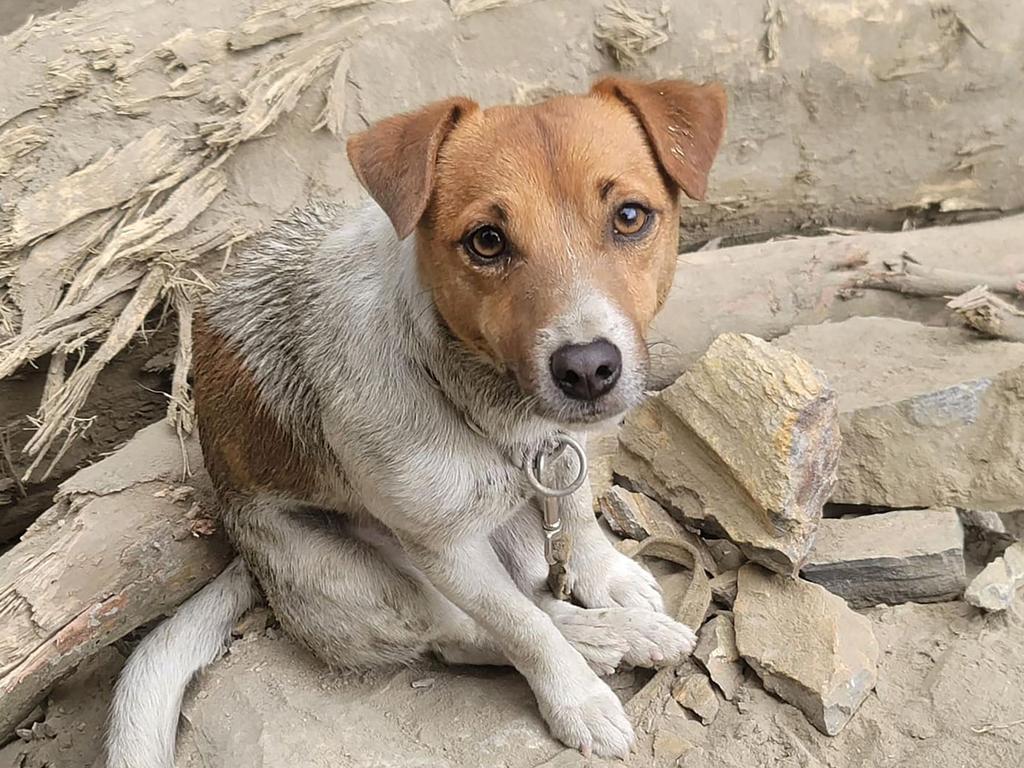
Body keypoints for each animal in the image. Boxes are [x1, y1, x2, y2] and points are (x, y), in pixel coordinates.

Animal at [105, 75, 729, 765]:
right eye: (487, 240)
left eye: (629, 217)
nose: (588, 368)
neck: (485, 403)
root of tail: (245, 564)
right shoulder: (447, 551)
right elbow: (523, 631)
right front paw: (577, 700)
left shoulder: (562, 458)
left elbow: (577, 522)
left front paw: (609, 578)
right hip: (370, 580)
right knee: (468, 633)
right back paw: (599, 643)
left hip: (498, 529)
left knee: (535, 590)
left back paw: (625, 628)